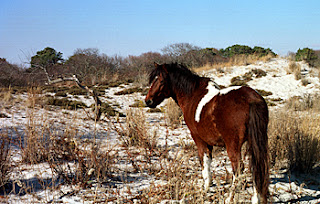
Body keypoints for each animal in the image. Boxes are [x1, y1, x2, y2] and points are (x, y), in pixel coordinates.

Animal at [146, 63, 270, 203]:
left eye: (161, 81)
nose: (148, 101)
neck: (192, 96)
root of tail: (251, 99)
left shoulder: (199, 139)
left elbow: (204, 162)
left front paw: (205, 188)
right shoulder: (209, 142)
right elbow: (209, 161)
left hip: (233, 146)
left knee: (238, 170)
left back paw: (230, 198)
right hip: (255, 143)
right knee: (256, 168)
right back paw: (256, 198)